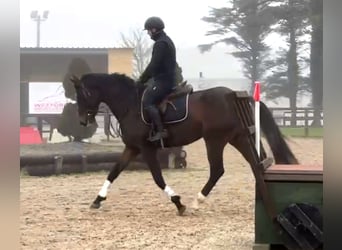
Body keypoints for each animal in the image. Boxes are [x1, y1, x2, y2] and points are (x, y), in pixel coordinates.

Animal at [71, 72, 298, 215]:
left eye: (82, 94)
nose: (81, 121)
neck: (131, 105)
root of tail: (234, 95)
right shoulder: (132, 148)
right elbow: (114, 171)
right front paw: (97, 200)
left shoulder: (146, 149)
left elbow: (158, 178)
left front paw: (178, 202)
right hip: (239, 138)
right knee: (256, 163)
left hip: (214, 140)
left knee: (218, 170)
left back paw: (197, 201)